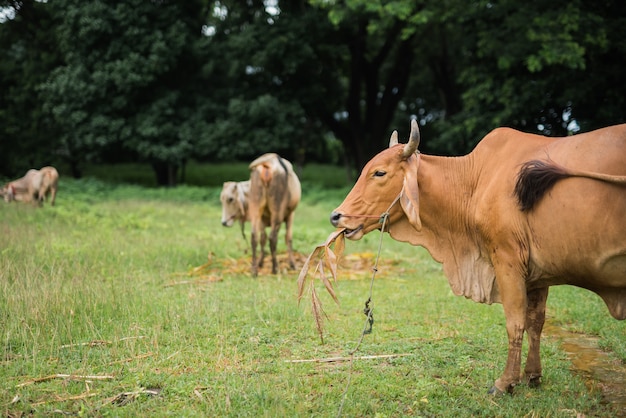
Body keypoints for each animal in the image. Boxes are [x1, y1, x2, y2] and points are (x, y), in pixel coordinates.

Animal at [330, 120, 620, 396]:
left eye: (379, 172)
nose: (336, 216)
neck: (475, 181)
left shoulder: (508, 260)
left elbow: (516, 322)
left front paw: (505, 383)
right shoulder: (539, 273)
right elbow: (536, 322)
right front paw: (532, 375)